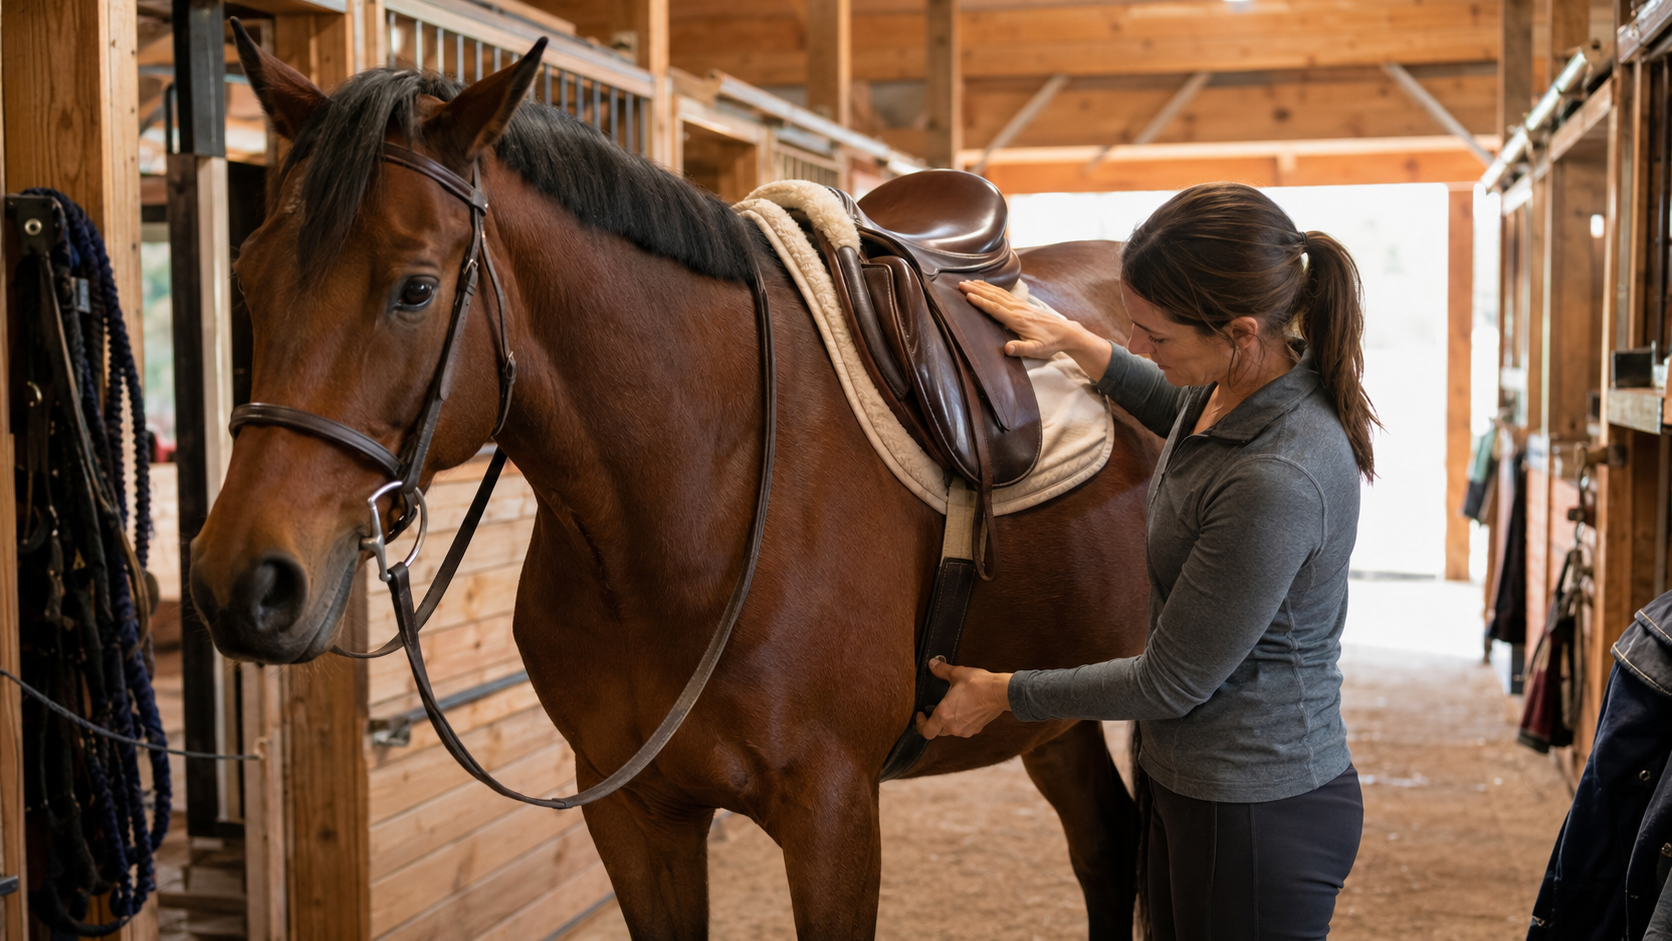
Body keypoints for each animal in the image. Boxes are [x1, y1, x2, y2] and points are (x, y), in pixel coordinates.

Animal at [189, 34, 1161, 940]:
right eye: (247, 275)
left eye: (416, 289)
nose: (244, 580)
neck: (688, 502)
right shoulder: (633, 814)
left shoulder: (833, 813)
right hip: (1051, 709)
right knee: (1108, 843)